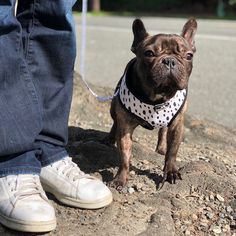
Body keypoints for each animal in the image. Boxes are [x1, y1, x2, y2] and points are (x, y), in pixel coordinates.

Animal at [107, 19, 197, 191]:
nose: (169, 60)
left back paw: (161, 147)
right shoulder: (125, 128)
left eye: (189, 55)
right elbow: (125, 155)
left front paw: (171, 171)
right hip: (114, 109)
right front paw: (120, 178)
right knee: (115, 123)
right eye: (149, 53)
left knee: (163, 130)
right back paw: (109, 138)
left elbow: (172, 151)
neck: (158, 96)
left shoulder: (177, 125)